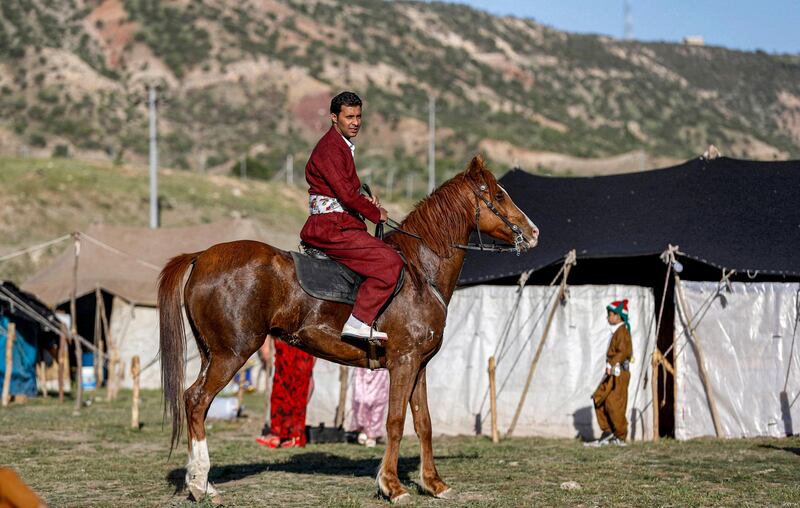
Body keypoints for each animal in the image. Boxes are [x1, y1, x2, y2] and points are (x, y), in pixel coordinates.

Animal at [159, 156, 540, 504]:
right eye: (499, 195)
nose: (534, 232)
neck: (421, 274)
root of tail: (201, 256)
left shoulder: (420, 365)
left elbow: (425, 423)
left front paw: (434, 484)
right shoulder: (403, 362)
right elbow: (395, 421)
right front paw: (392, 486)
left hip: (213, 355)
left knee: (198, 403)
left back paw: (203, 482)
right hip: (232, 354)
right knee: (196, 401)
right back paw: (199, 484)